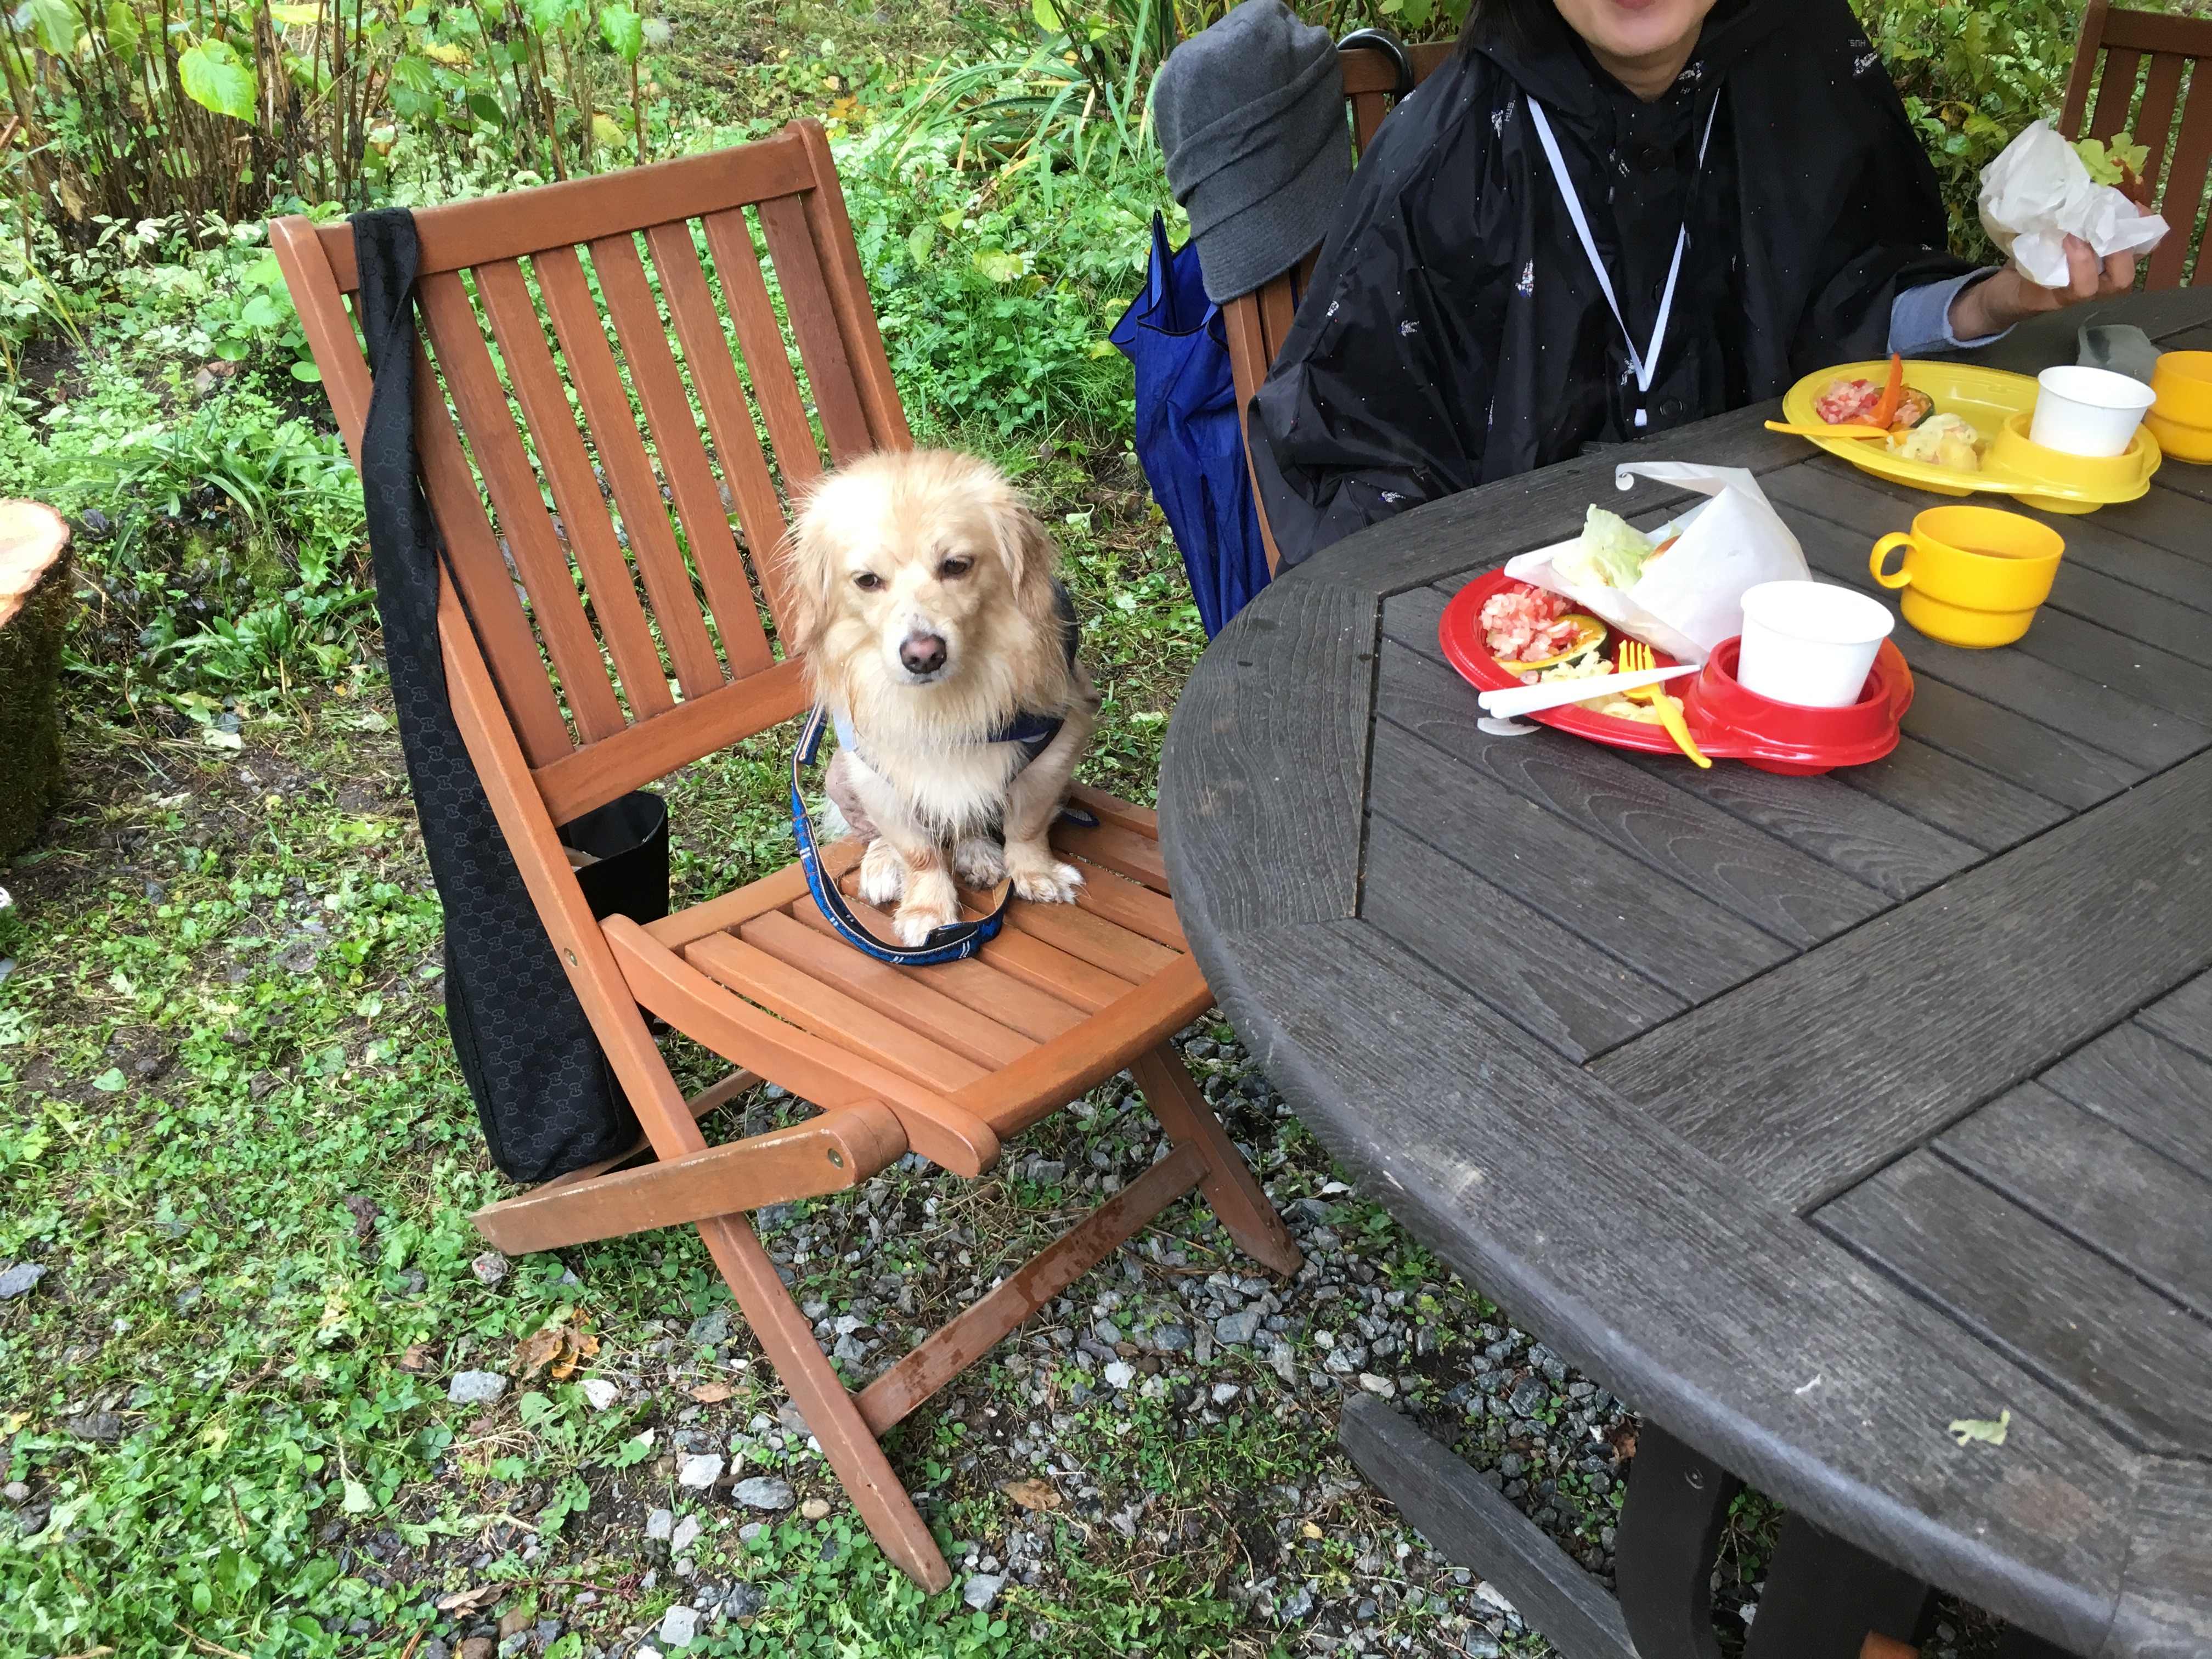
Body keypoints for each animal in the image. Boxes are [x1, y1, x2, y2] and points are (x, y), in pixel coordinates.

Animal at [783, 451, 1101, 946]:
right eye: (867, 580)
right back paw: (882, 865)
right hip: (844, 778)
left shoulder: (1053, 749)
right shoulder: (877, 779)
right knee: (879, 834)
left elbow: (1026, 825)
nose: (923, 654)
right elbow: (917, 851)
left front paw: (1036, 873)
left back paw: (980, 856)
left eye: (956, 565)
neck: (943, 705)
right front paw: (927, 909)